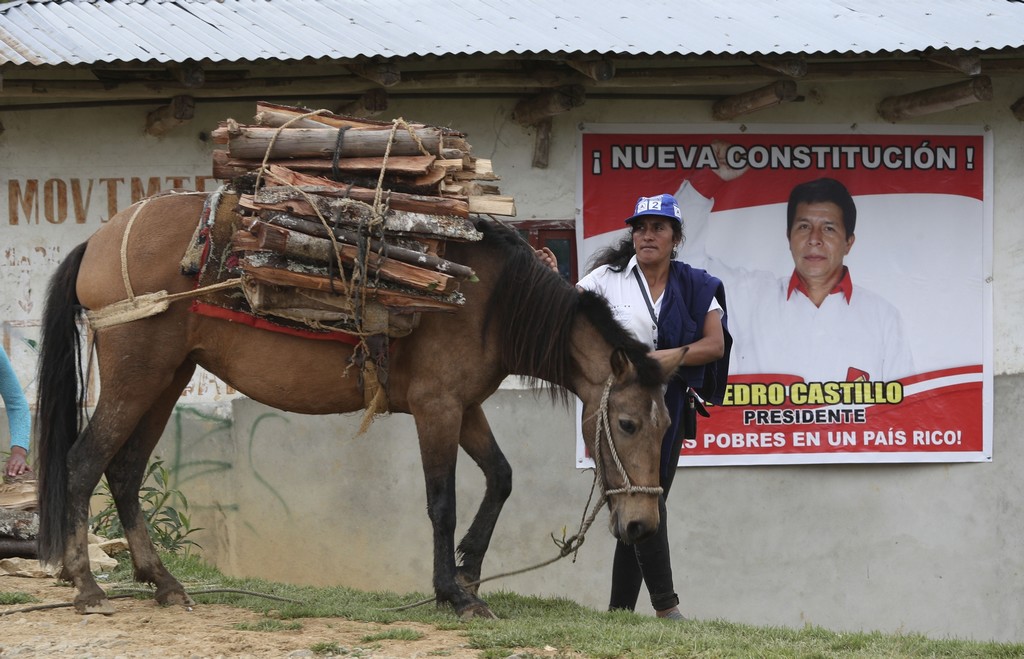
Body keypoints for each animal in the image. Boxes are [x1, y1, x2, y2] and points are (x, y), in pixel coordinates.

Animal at [37, 190, 679, 618]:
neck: (490, 304)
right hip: (136, 377)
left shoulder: (465, 407)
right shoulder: (437, 408)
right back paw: (87, 586)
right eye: (626, 424)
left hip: (166, 378)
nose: (643, 525)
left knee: (123, 471)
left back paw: (163, 582)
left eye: (667, 424)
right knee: (82, 463)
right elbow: (442, 502)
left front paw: (469, 571)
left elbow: (500, 477)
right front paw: (453, 593)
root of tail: (99, 240)